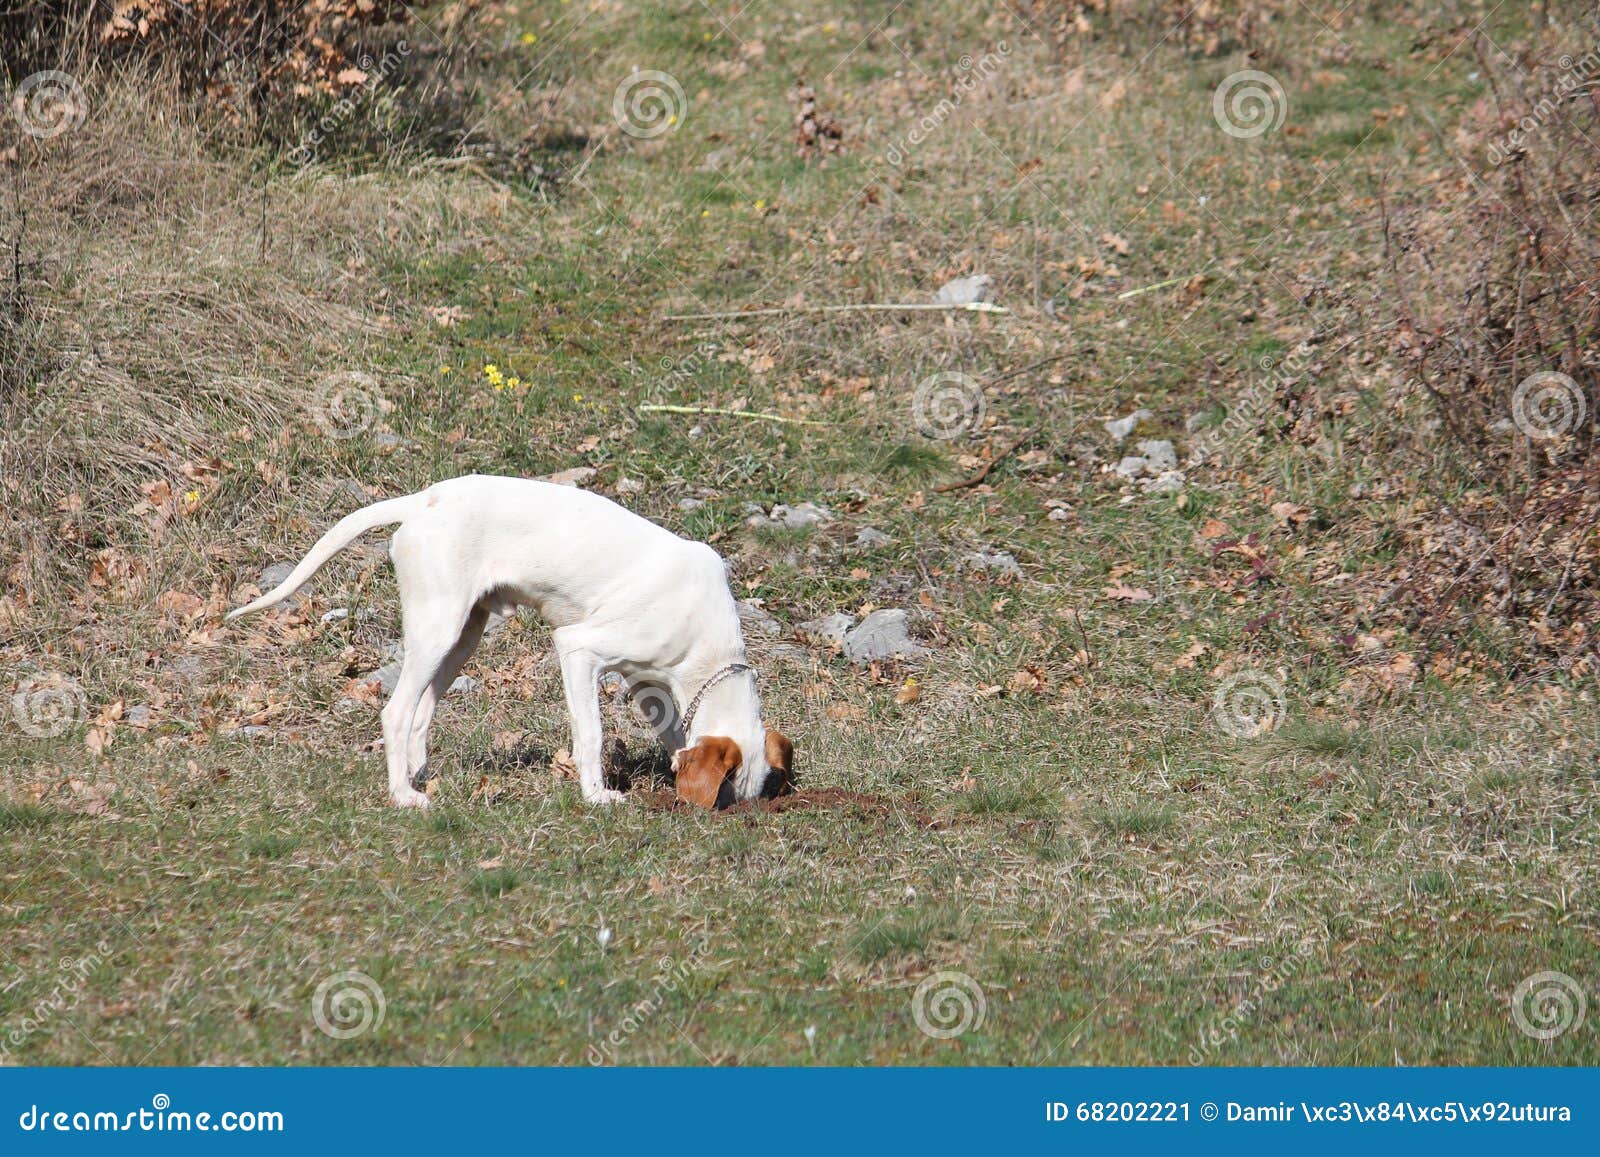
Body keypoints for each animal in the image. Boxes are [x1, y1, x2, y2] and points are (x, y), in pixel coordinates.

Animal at [227, 473, 793, 809]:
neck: (708, 643)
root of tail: (426, 498)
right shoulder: (578, 649)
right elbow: (590, 736)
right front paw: (596, 796)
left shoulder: (648, 686)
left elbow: (676, 733)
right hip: (438, 629)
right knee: (396, 712)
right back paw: (404, 794)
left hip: (462, 636)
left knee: (422, 713)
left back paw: (417, 774)